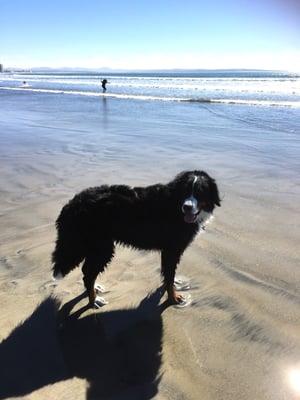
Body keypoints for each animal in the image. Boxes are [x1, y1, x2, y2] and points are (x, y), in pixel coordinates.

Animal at [52, 170, 220, 308]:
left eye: (200, 192)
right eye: (185, 191)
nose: (187, 207)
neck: (175, 206)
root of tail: (72, 204)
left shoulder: (170, 251)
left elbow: (168, 274)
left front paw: (172, 286)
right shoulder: (171, 249)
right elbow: (169, 275)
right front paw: (173, 298)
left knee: (87, 271)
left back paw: (94, 290)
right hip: (101, 248)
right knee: (88, 273)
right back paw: (93, 301)